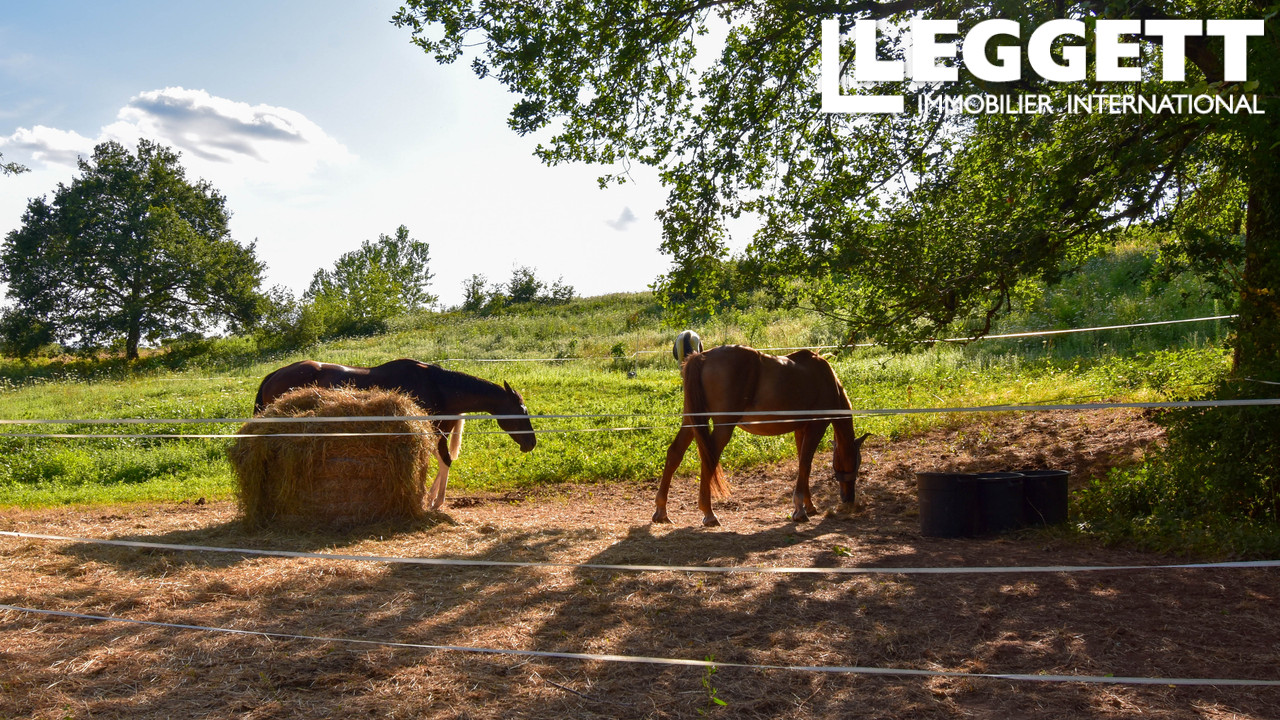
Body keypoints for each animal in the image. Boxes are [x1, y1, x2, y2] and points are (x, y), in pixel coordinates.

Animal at [254, 358, 536, 510]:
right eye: (521, 411)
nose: (531, 443)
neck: (437, 386)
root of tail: (273, 374)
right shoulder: (433, 431)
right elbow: (444, 461)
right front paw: (434, 502)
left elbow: (440, 461)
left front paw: (427, 497)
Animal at [653, 345, 870, 527]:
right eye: (856, 462)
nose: (849, 498)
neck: (825, 379)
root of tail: (702, 357)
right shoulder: (817, 426)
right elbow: (806, 464)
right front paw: (800, 510)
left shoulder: (801, 429)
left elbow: (803, 464)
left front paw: (809, 505)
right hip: (723, 426)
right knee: (709, 459)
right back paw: (709, 513)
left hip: (691, 421)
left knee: (675, 453)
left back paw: (661, 510)